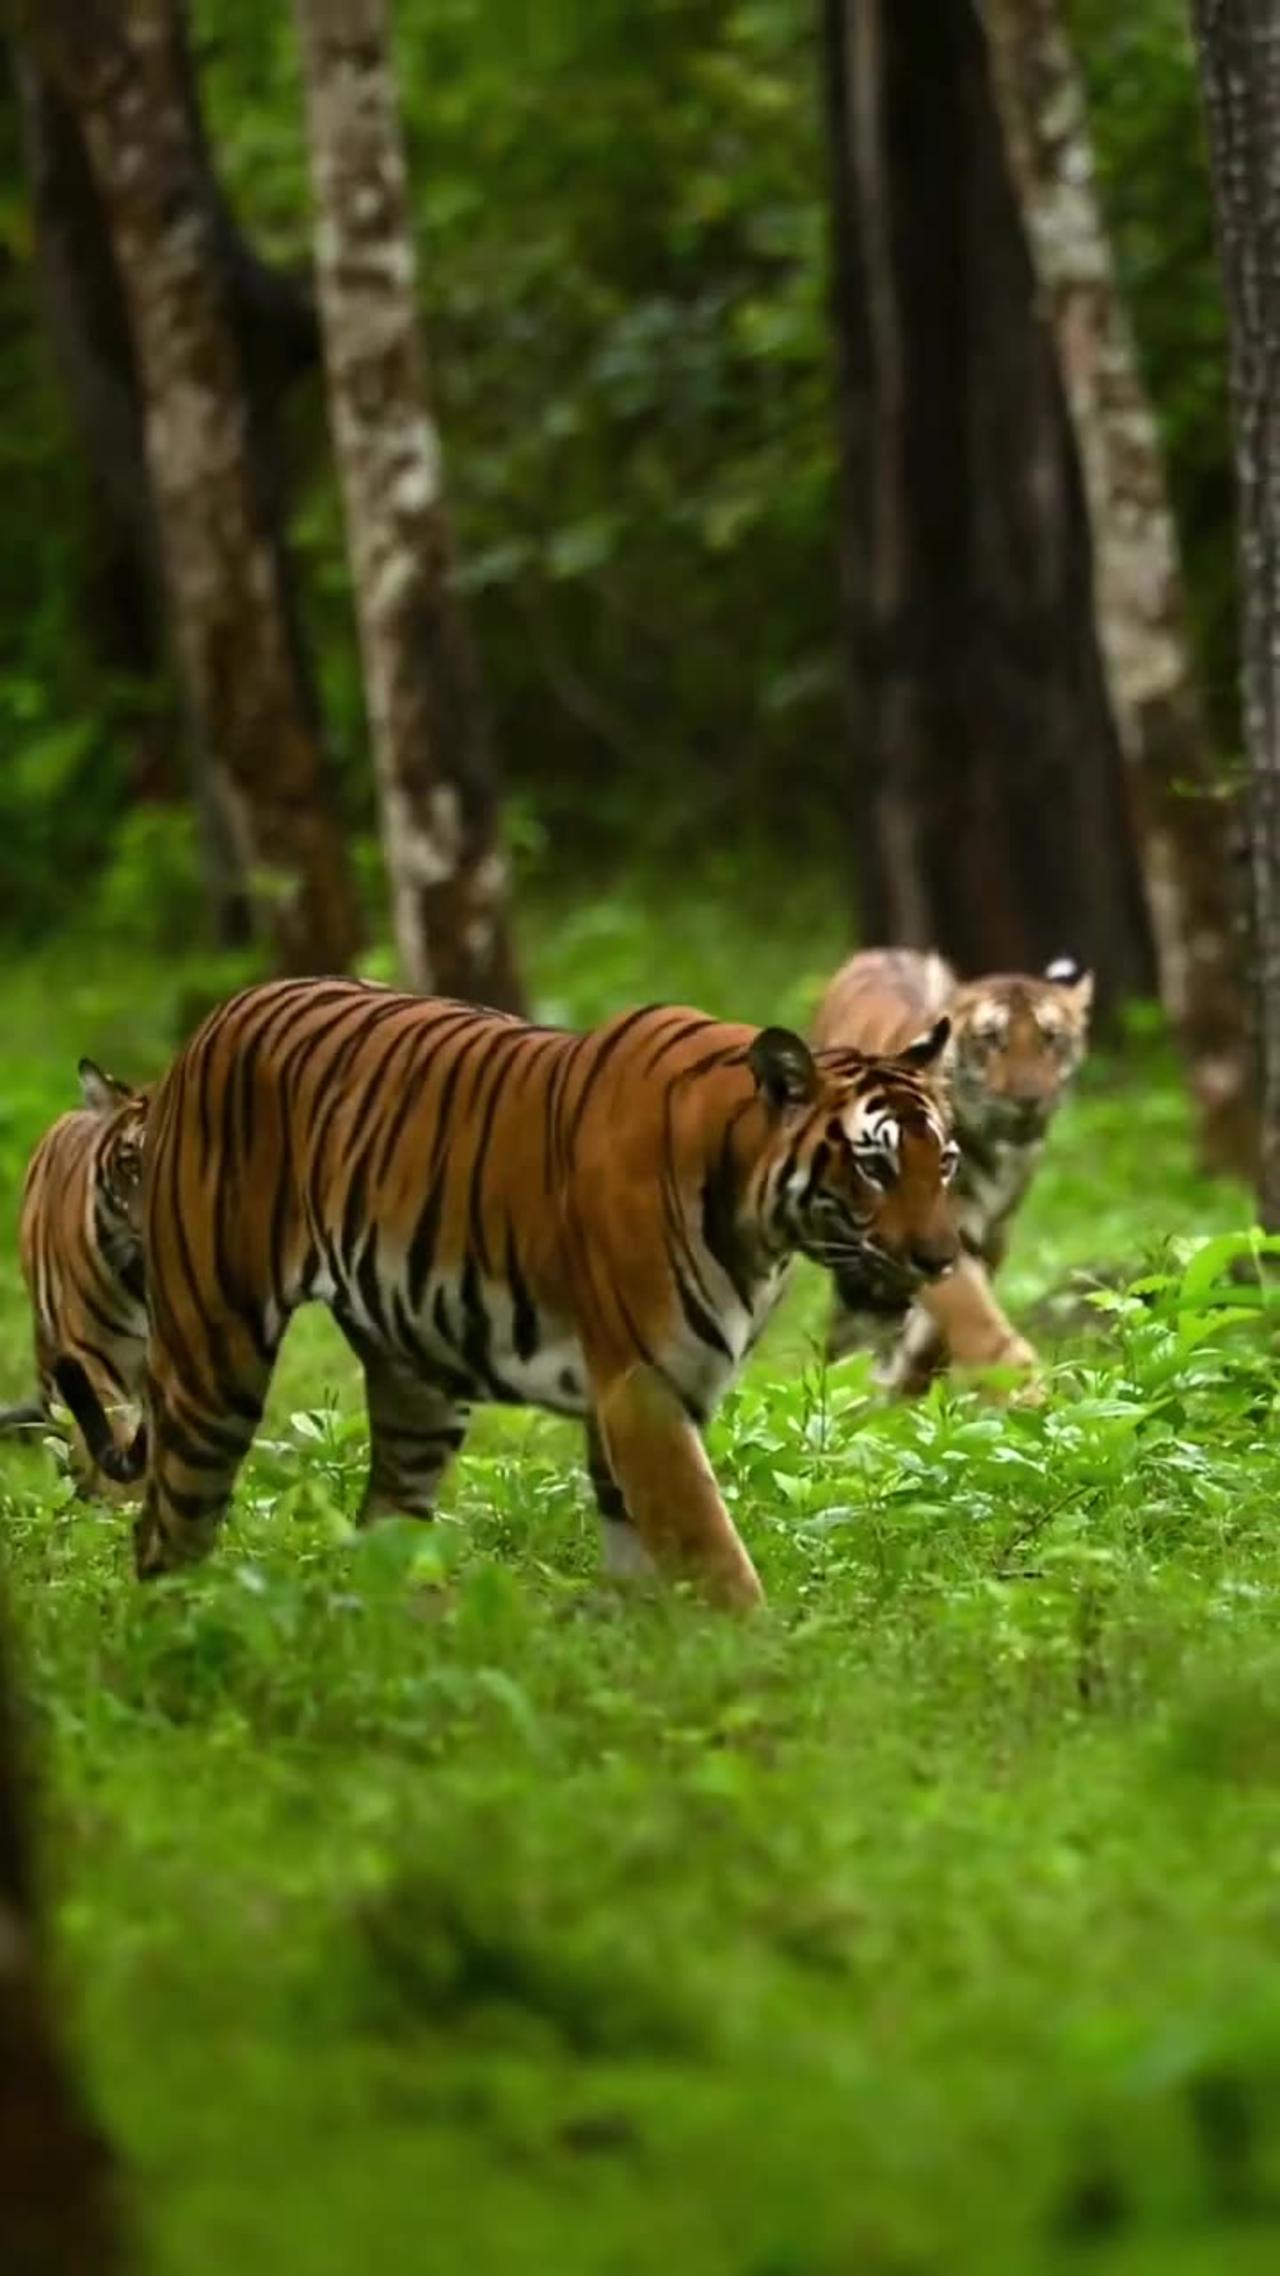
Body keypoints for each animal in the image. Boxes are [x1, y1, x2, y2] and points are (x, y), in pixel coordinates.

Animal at [137, 987, 956, 1611]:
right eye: (876, 1166)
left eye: (943, 1161)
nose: (942, 1259)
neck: (759, 1223)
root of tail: (212, 1022)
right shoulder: (642, 1389)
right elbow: (713, 1553)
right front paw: (764, 1666)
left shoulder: (642, 1401)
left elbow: (640, 1558)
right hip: (212, 1359)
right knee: (163, 1531)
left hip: (418, 1389)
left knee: (383, 1525)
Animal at [810, 946, 1093, 1392]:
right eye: (992, 1038)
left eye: (1050, 1038)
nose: (1029, 1099)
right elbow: (972, 1315)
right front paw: (1023, 1390)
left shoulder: (990, 1237)